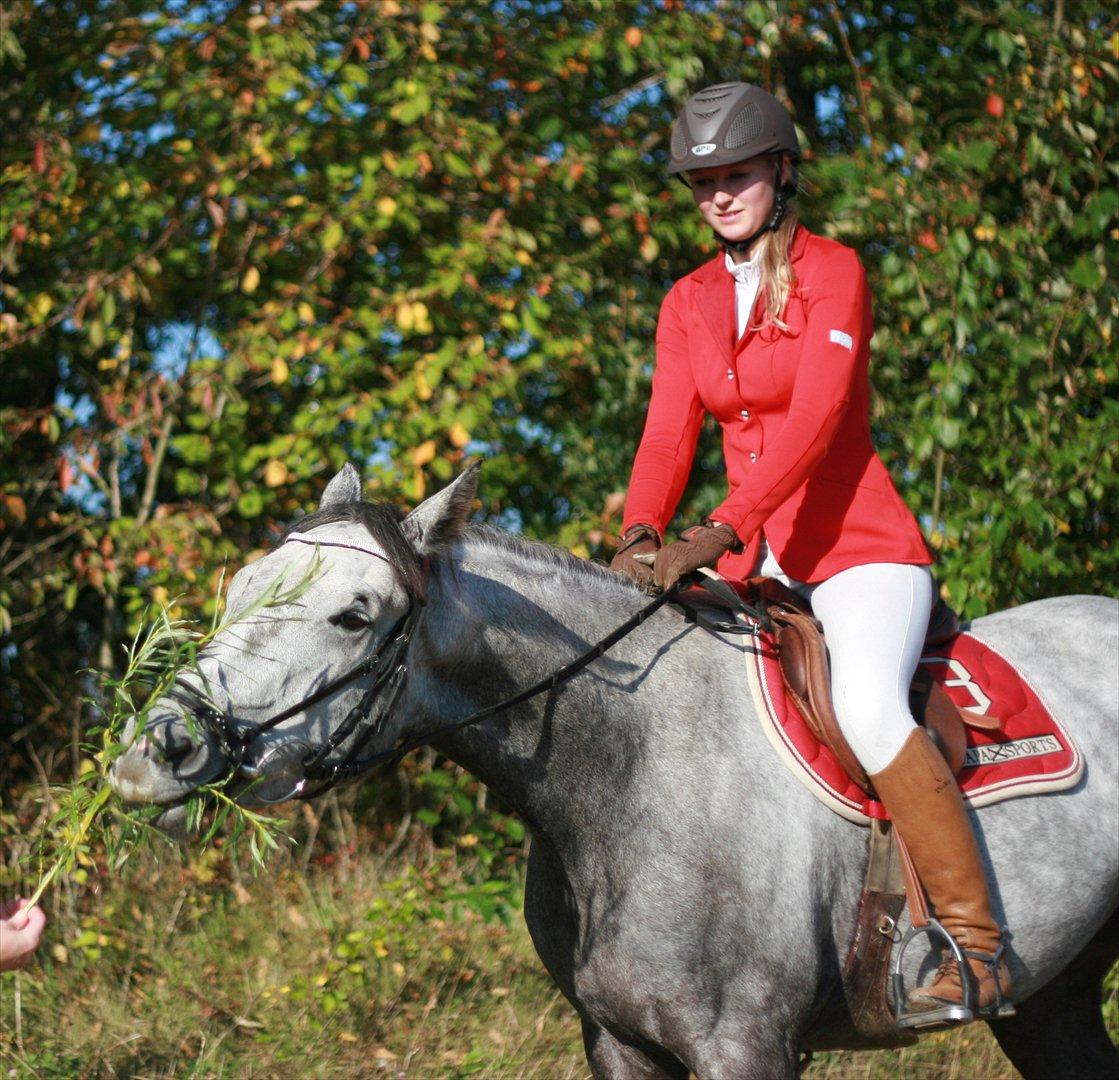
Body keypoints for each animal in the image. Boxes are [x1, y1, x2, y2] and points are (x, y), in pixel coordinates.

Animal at [113, 465, 1119, 1078]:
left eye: (353, 616)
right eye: (242, 588)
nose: (159, 749)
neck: (634, 772)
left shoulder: (746, 1049)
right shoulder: (619, 1044)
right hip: (1055, 1001)